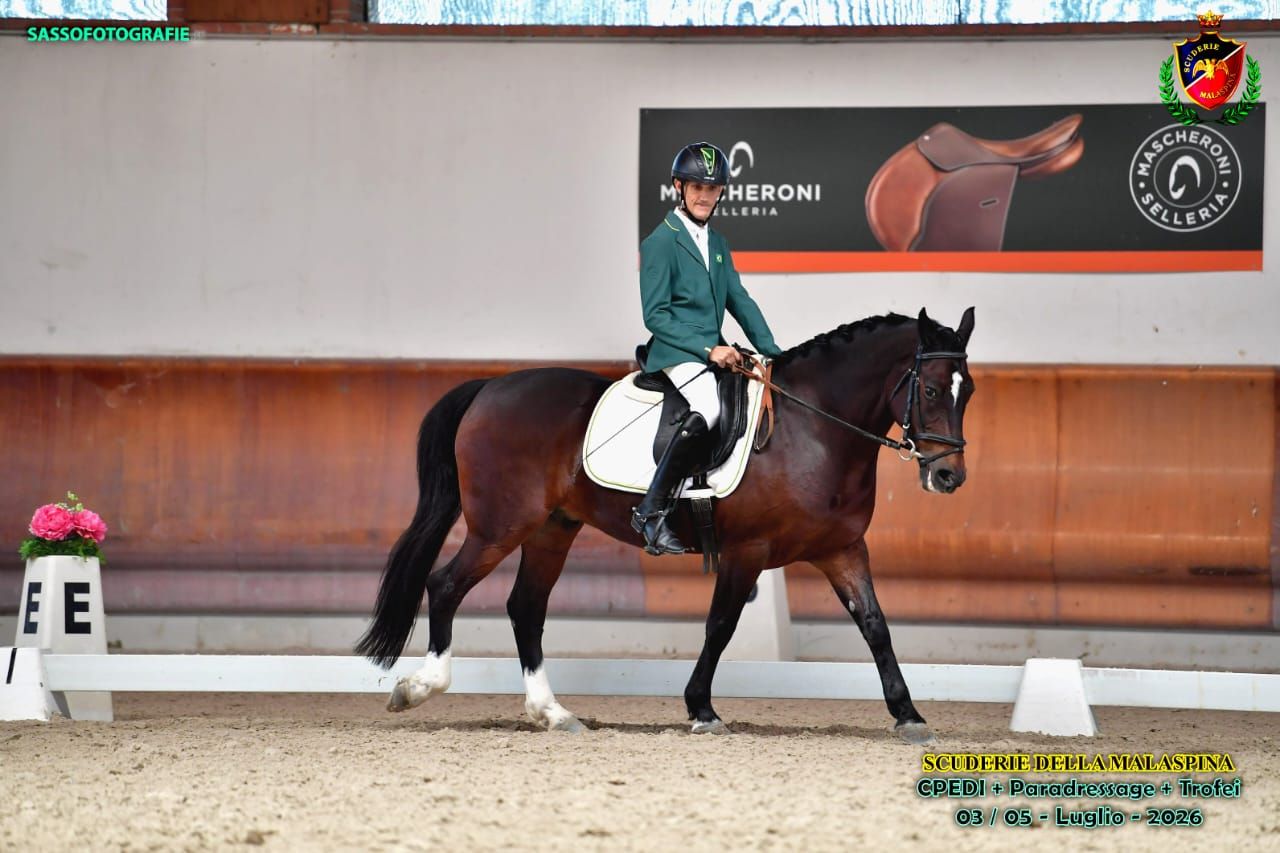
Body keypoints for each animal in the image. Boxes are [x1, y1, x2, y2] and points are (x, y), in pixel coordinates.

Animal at [356, 307, 976, 744]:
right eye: (927, 389)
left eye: (966, 391)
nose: (948, 476)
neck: (815, 430)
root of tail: (489, 387)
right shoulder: (748, 551)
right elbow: (720, 626)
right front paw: (701, 709)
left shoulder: (842, 549)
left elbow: (875, 626)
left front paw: (909, 715)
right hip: (500, 526)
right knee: (446, 586)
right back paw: (419, 688)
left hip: (552, 528)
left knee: (525, 608)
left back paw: (553, 713)